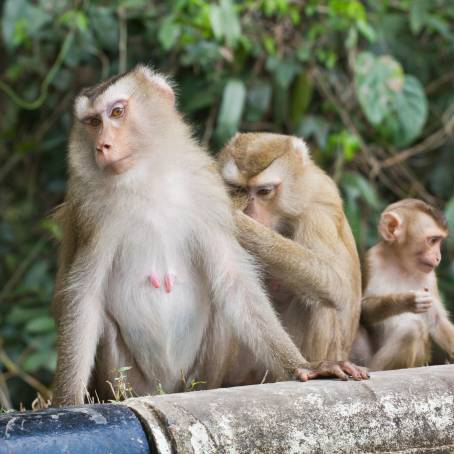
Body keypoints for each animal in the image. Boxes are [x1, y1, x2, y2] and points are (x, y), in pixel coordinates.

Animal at [217, 133, 366, 382]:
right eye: (237, 188)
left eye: (264, 191)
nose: (249, 212)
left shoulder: (317, 214)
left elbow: (336, 284)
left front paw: (239, 222)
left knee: (322, 302)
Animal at [352, 200, 454, 370]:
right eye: (433, 240)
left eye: (439, 241)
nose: (438, 257)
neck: (402, 264)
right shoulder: (372, 260)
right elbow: (362, 310)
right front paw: (407, 300)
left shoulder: (430, 277)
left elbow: (437, 320)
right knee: (411, 329)